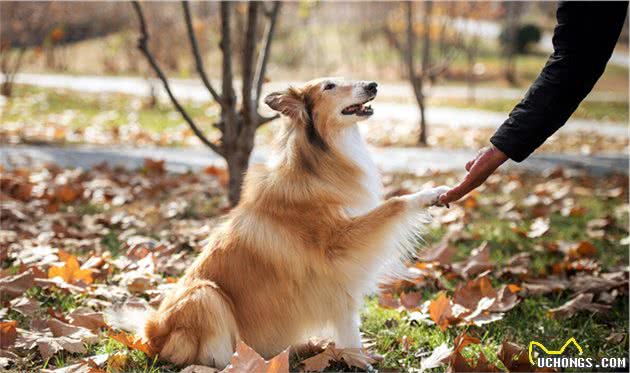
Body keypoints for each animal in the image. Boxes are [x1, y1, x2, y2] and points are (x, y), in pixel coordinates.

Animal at [111, 77, 452, 366]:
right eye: (329, 86)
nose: (373, 85)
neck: (314, 165)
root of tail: (152, 333)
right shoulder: (340, 250)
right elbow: (394, 204)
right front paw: (429, 194)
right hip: (206, 295)